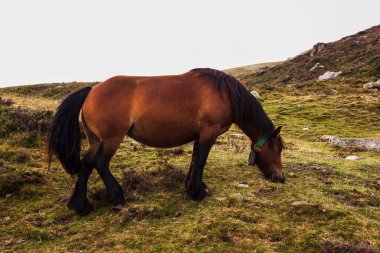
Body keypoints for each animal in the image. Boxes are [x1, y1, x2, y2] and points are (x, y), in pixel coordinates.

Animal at [47, 68, 284, 214]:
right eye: (279, 148)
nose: (280, 178)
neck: (225, 93)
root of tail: (92, 91)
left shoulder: (199, 135)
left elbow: (194, 160)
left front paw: (193, 187)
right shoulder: (209, 132)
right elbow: (201, 161)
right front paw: (198, 192)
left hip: (96, 140)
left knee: (86, 164)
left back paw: (80, 205)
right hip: (111, 139)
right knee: (100, 163)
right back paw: (116, 197)